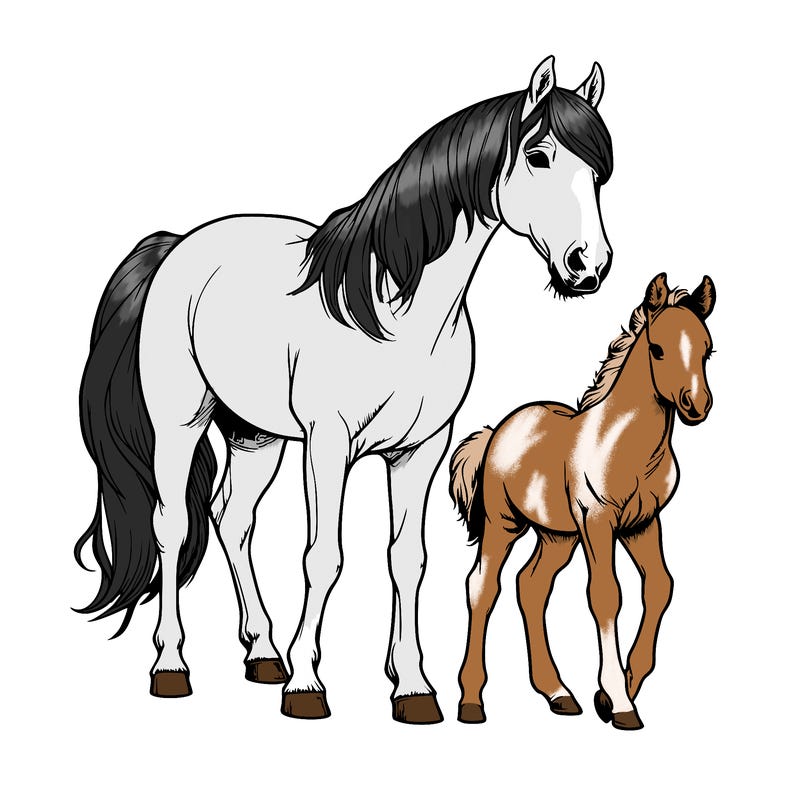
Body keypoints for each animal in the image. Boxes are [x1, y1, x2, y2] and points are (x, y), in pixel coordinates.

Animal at [75, 56, 614, 724]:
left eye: (598, 173)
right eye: (539, 156)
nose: (588, 266)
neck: (393, 312)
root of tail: (178, 246)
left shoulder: (419, 451)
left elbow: (408, 560)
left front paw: (412, 686)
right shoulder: (328, 445)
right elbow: (322, 557)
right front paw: (307, 685)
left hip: (257, 437)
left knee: (233, 518)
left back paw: (263, 652)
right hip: (181, 426)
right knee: (172, 525)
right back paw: (173, 664)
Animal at [450, 273, 715, 728]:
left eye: (707, 349)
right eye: (657, 349)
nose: (696, 405)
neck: (627, 445)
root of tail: (497, 430)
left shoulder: (642, 523)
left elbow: (659, 587)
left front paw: (612, 693)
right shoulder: (597, 520)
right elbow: (606, 595)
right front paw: (620, 702)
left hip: (557, 536)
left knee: (531, 585)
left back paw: (558, 693)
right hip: (504, 524)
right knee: (483, 587)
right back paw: (471, 701)